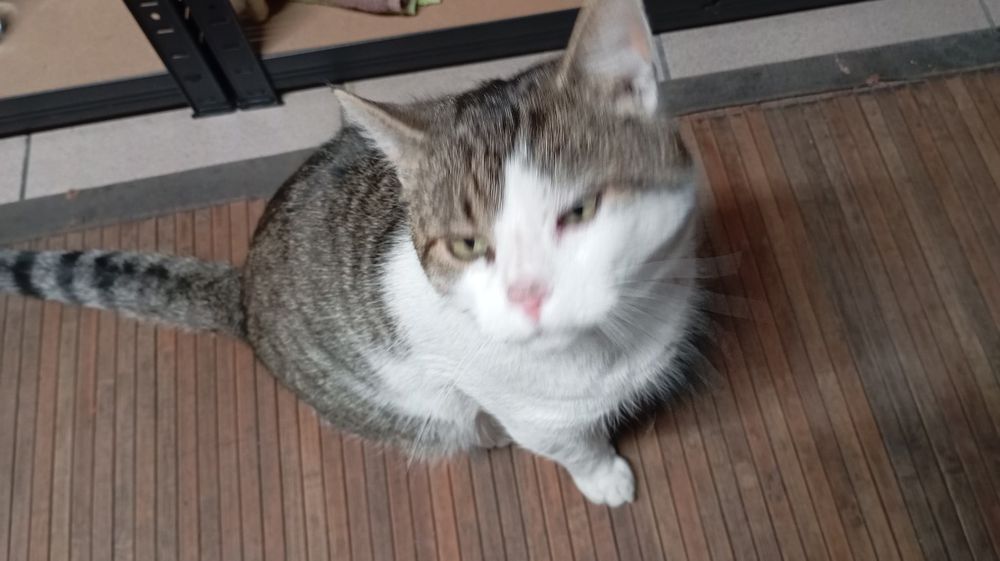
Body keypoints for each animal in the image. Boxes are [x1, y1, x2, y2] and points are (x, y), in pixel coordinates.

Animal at [0, 0, 700, 506]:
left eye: (580, 211)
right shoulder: (537, 417)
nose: (528, 294)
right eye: (468, 244)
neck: (615, 342)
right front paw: (605, 476)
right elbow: (574, 446)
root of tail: (244, 293)